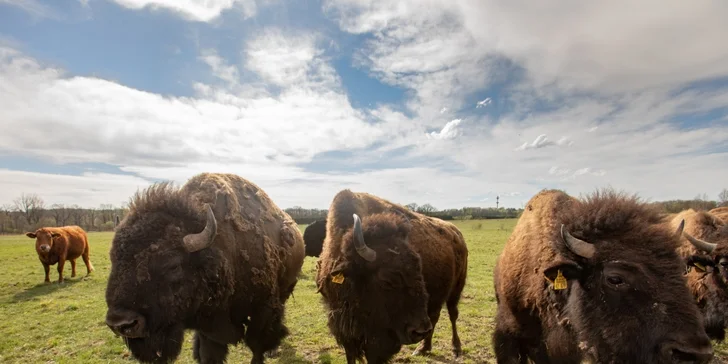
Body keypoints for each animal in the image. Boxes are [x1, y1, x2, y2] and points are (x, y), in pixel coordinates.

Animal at [104, 173, 304, 364]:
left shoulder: (263, 310)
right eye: (114, 259)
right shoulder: (208, 326)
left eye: (173, 265)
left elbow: (257, 346)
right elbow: (210, 354)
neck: (220, 250)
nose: (121, 323)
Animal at [314, 191, 466, 364]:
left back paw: (456, 349)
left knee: (452, 315)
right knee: (435, 317)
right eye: (387, 279)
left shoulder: (380, 340)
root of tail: (456, 233)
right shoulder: (344, 330)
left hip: (456, 289)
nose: (419, 331)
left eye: (419, 268)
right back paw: (423, 348)